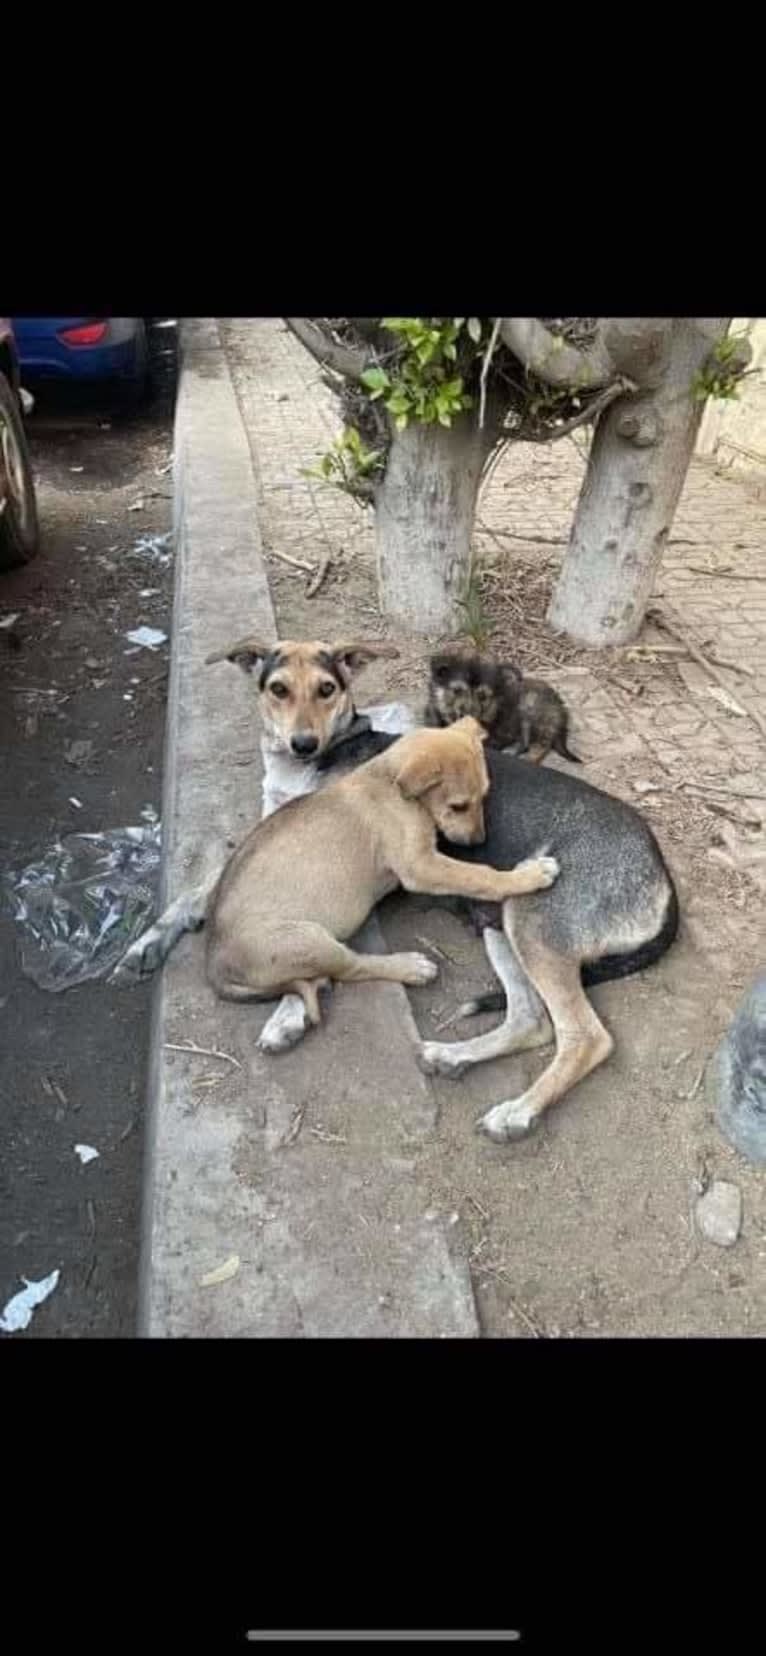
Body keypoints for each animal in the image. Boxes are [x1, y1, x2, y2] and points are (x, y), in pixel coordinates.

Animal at [206, 718, 559, 1026]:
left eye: (485, 795)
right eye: (458, 806)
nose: (478, 841)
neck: (390, 781)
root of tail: (216, 961)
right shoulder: (419, 866)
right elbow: (478, 875)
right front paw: (528, 875)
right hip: (310, 940)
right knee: (352, 968)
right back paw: (410, 967)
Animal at [426, 652, 582, 768]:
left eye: (483, 696)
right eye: (457, 691)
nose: (467, 715)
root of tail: (561, 711)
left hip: (531, 708)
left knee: (538, 746)